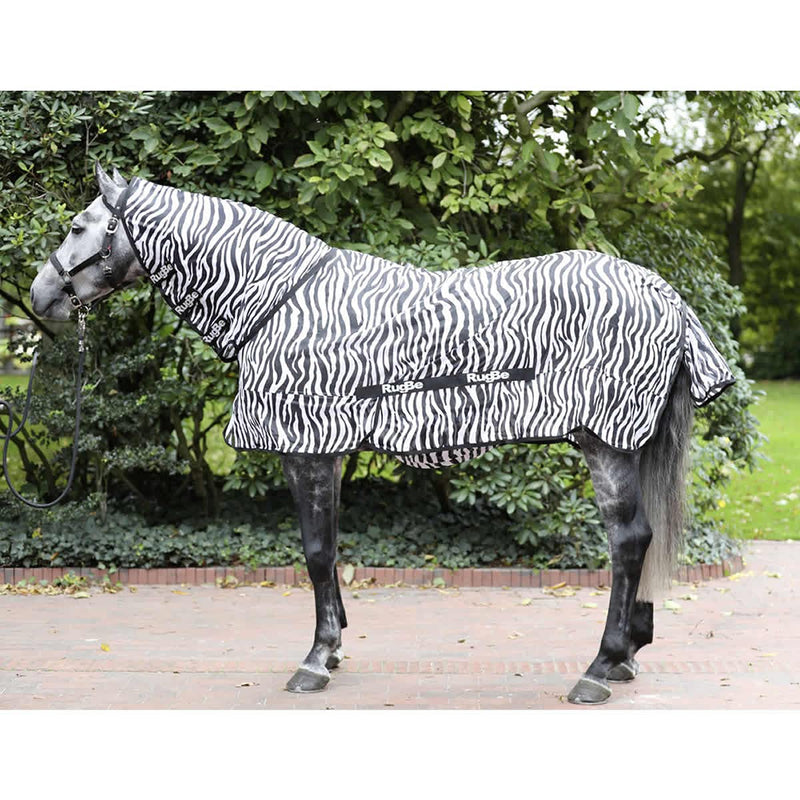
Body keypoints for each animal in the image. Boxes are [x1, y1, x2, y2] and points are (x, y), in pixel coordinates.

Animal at [29, 163, 734, 705]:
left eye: (77, 227)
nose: (38, 297)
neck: (279, 301)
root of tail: (662, 293)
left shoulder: (305, 450)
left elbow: (315, 553)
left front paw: (315, 660)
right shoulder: (329, 452)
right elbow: (331, 546)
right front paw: (335, 646)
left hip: (605, 442)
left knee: (628, 542)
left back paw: (598, 668)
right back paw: (625, 657)